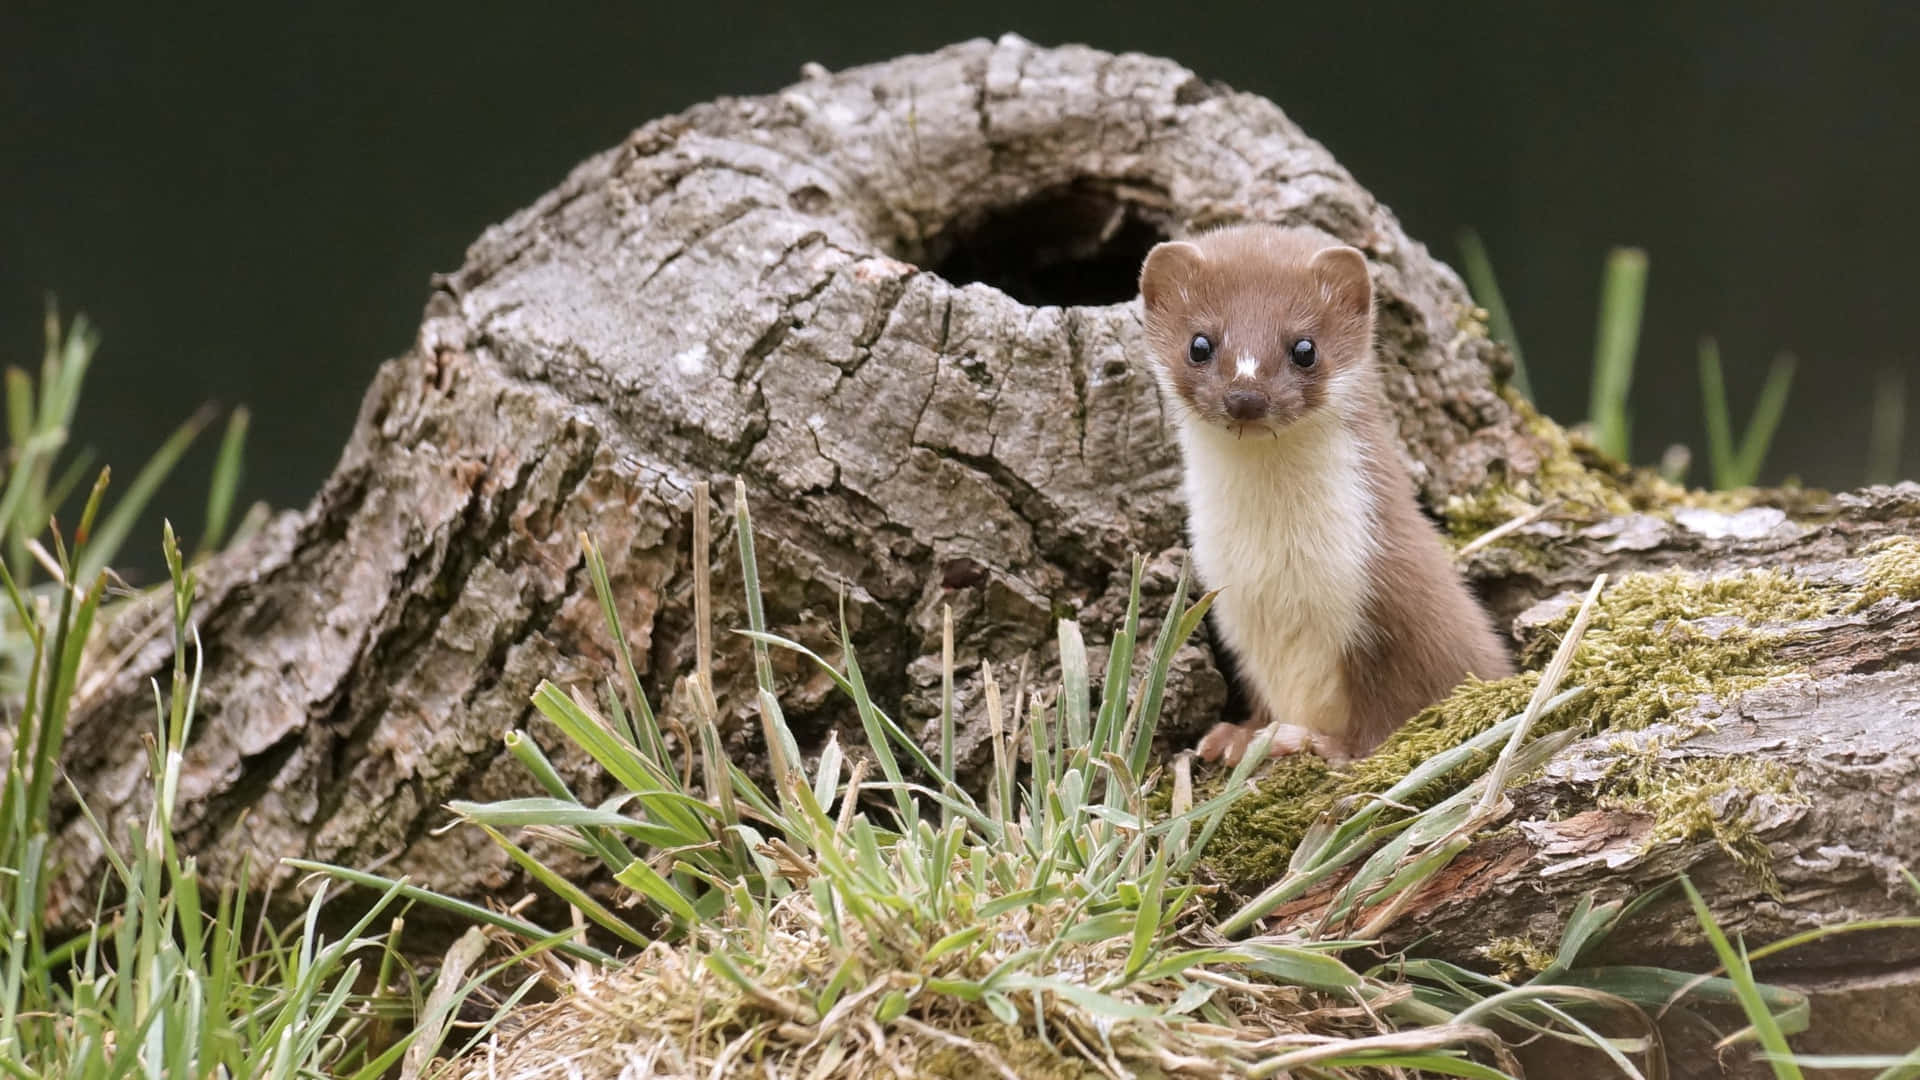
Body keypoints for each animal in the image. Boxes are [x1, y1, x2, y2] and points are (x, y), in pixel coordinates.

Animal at [1136, 224, 1512, 764]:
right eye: (1200, 343)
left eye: (1304, 347)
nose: (1246, 397)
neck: (1275, 565)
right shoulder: (1234, 611)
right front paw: (1238, 737)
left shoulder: (1397, 593)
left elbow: (1396, 704)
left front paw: (1320, 742)